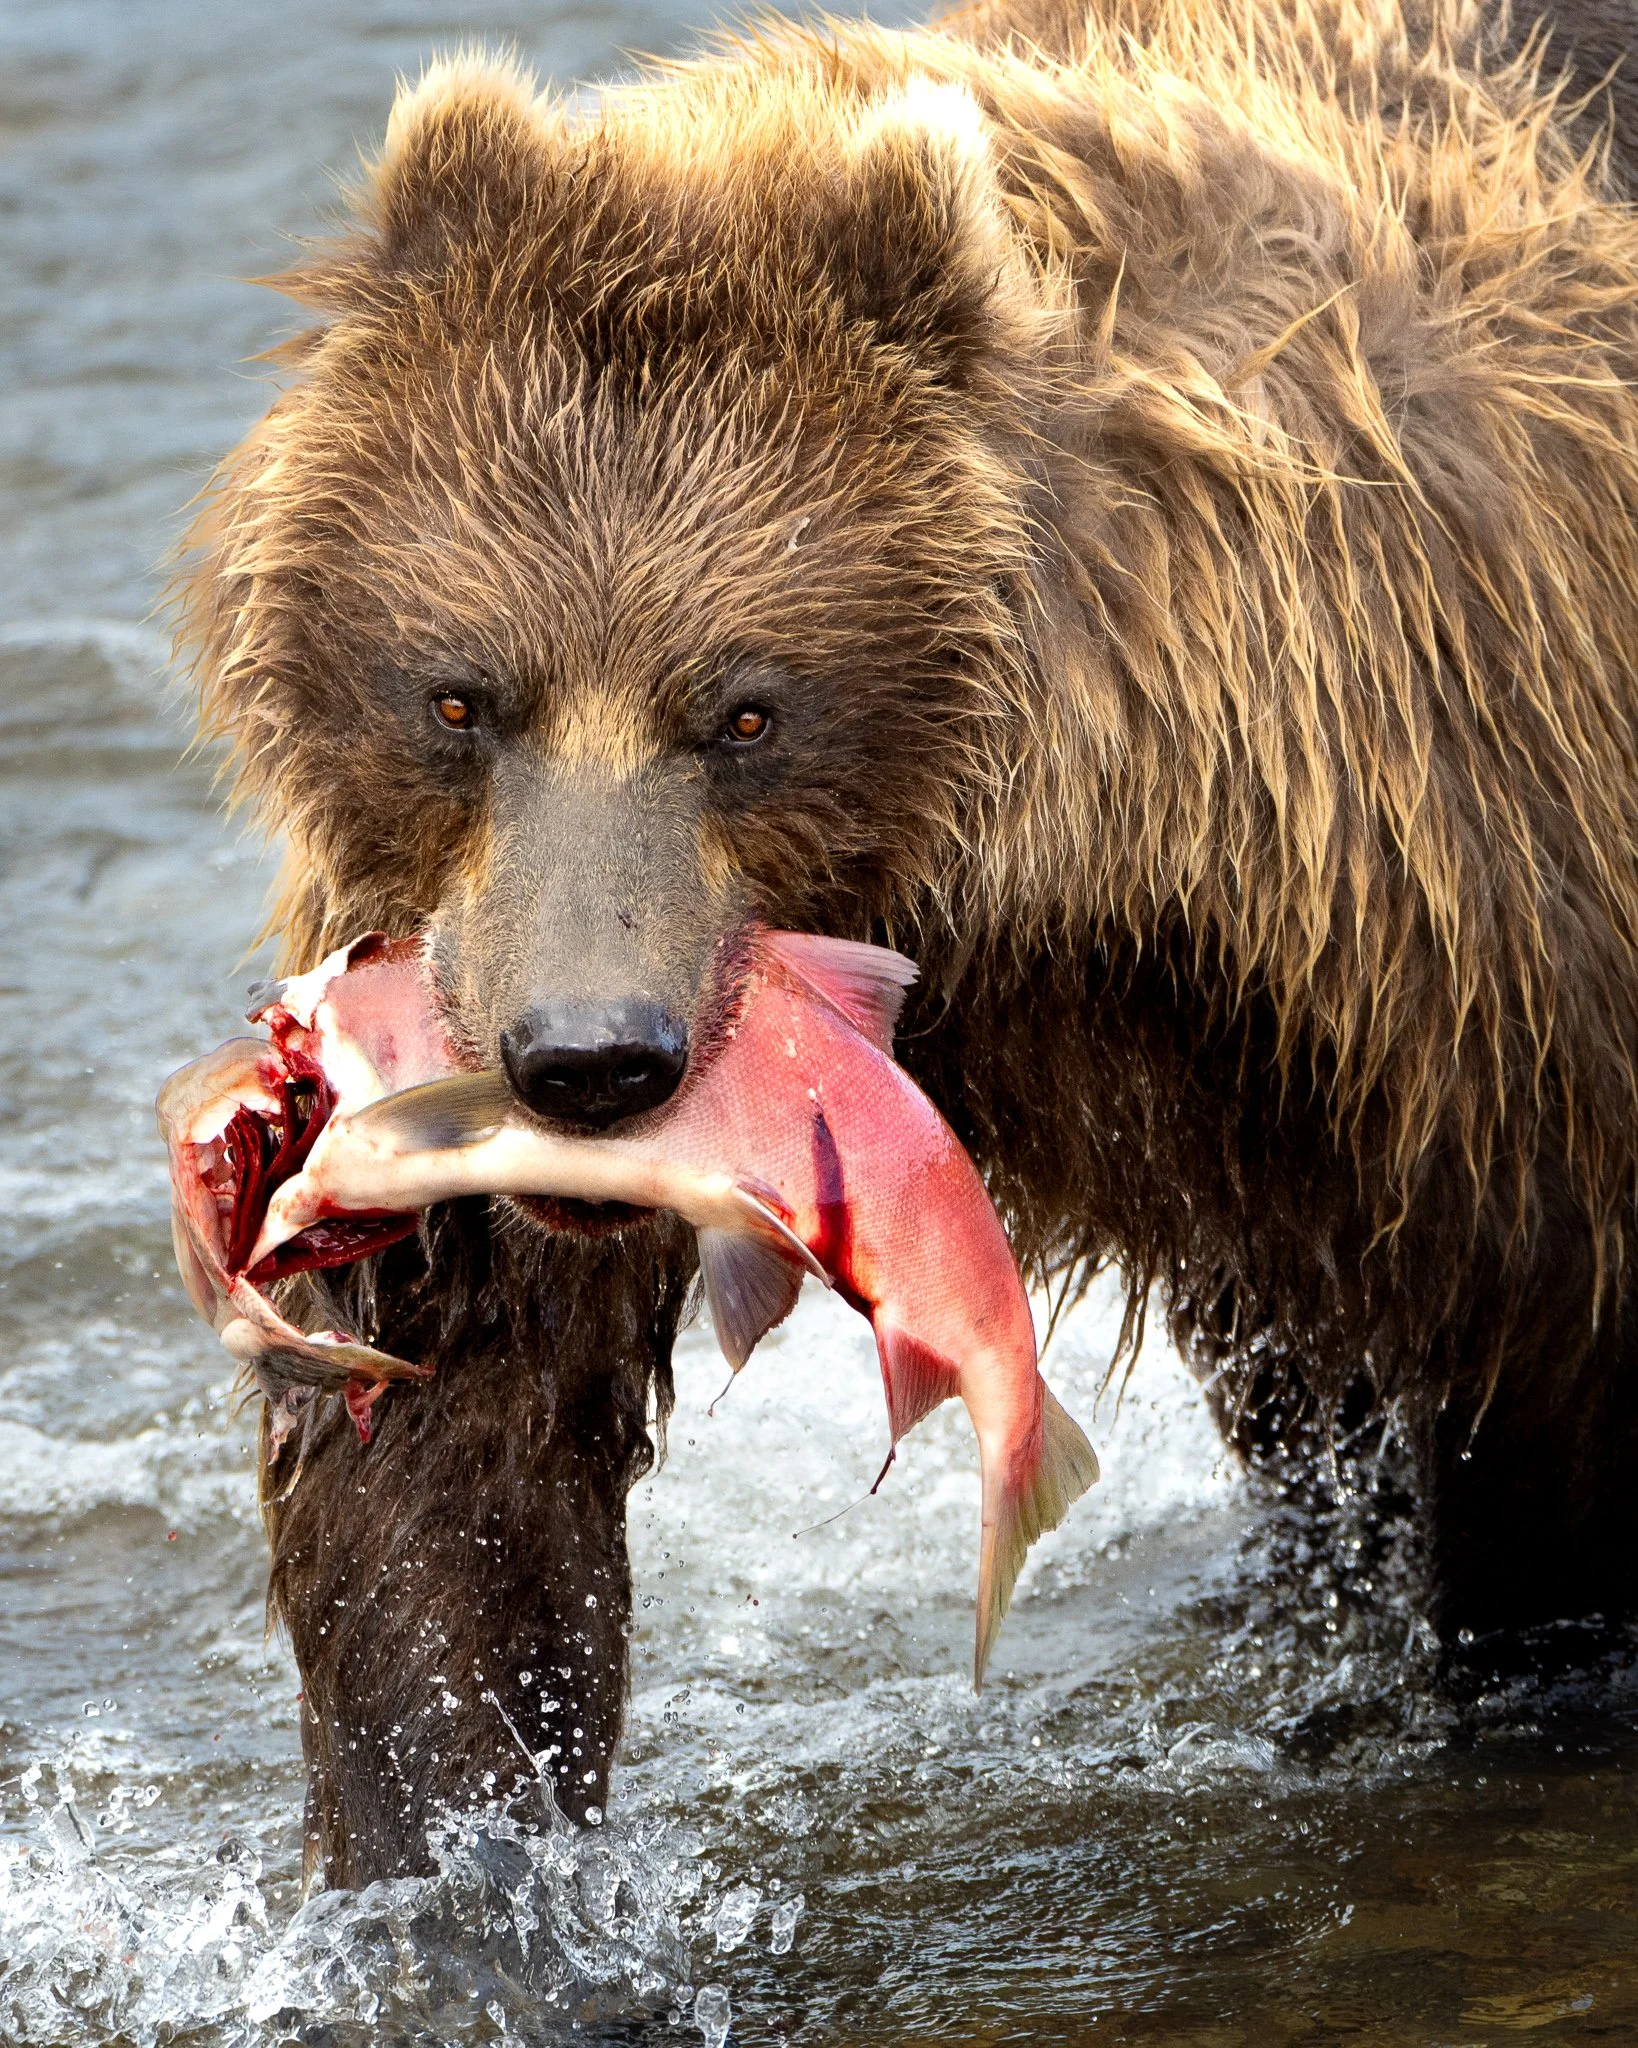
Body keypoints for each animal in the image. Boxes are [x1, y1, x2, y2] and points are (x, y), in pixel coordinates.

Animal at [179, 0, 1638, 1886]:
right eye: (456, 693)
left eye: (744, 707)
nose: (586, 1058)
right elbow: (452, 1446)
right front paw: (465, 1868)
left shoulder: (1467, 955)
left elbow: (1542, 1376)